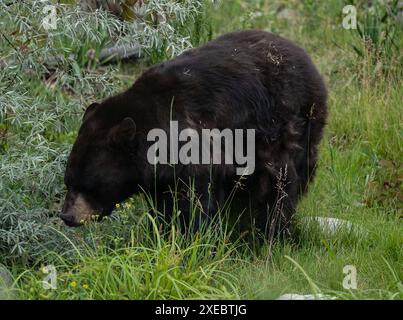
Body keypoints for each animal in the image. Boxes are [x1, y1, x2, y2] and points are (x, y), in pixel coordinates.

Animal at [62, 30, 328, 239]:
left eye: (86, 185)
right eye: (68, 180)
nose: (66, 215)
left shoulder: (194, 149)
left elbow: (193, 200)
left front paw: (189, 236)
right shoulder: (162, 177)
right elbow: (165, 204)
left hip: (290, 126)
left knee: (280, 184)